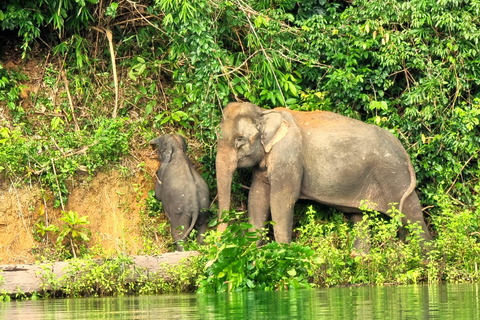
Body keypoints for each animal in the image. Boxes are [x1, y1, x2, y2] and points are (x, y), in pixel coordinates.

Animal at [216, 101, 434, 249]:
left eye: (240, 140)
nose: (216, 244)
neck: (265, 111)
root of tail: (402, 148)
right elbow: (257, 197)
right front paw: (253, 253)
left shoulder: (288, 156)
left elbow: (281, 200)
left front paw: (284, 254)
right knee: (360, 217)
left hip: (394, 174)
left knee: (412, 215)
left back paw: (426, 262)